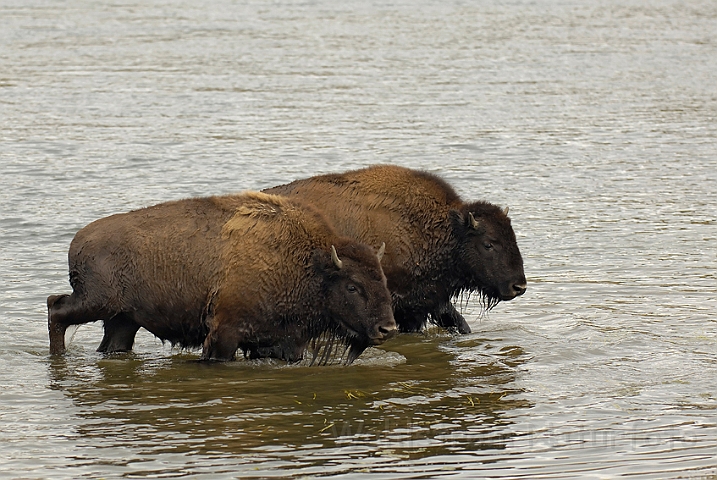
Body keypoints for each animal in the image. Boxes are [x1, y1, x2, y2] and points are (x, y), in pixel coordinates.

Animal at [47, 191, 394, 364]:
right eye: (352, 286)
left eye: (383, 281)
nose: (387, 329)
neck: (309, 263)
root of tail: (78, 241)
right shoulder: (225, 333)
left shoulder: (281, 342)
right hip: (96, 303)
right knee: (55, 307)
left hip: (123, 320)